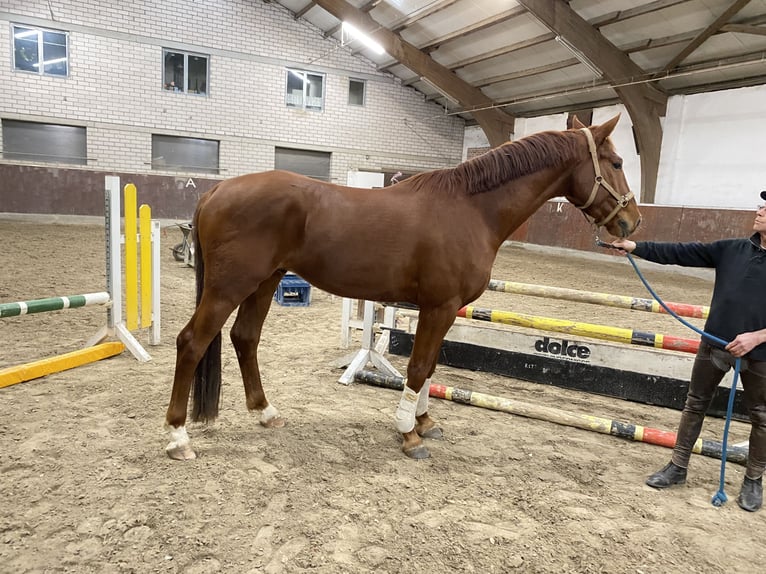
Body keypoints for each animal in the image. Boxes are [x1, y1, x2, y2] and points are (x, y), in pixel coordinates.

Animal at [166, 115, 640, 462]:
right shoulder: (440, 306)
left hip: (264, 282)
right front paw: (409, 433)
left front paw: (425, 422)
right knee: (191, 342)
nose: (631, 222)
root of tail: (217, 189)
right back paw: (178, 437)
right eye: (617, 164)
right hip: (230, 287)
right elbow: (417, 367)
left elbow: (429, 368)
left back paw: (266, 414)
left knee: (245, 338)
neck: (471, 208)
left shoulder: (442, 310)